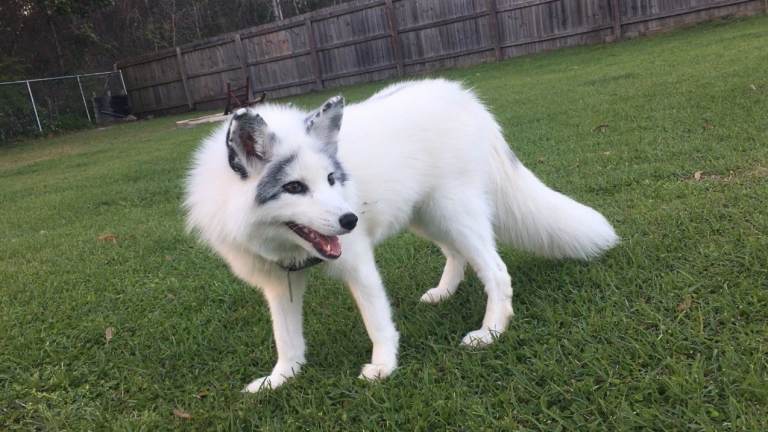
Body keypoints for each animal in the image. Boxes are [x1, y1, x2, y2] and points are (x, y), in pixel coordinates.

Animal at [184, 78, 616, 392]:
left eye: (330, 179)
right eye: (294, 188)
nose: (349, 220)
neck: (288, 247)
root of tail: (466, 99)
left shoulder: (358, 264)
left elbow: (377, 322)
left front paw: (383, 367)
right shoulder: (279, 284)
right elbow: (286, 339)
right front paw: (281, 379)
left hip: (454, 212)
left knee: (496, 271)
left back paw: (490, 332)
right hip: (428, 216)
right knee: (456, 254)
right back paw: (444, 292)